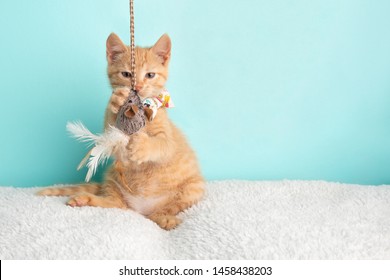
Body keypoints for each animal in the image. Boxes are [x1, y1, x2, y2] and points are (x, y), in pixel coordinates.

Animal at [37, 33, 206, 230]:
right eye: (127, 74)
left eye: (150, 75)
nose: (137, 87)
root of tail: (140, 209)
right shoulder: (116, 145)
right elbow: (112, 133)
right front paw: (117, 101)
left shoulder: (168, 141)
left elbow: (161, 144)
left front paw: (144, 146)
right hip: (114, 179)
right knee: (116, 204)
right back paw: (84, 199)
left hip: (194, 188)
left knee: (164, 210)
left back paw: (165, 217)